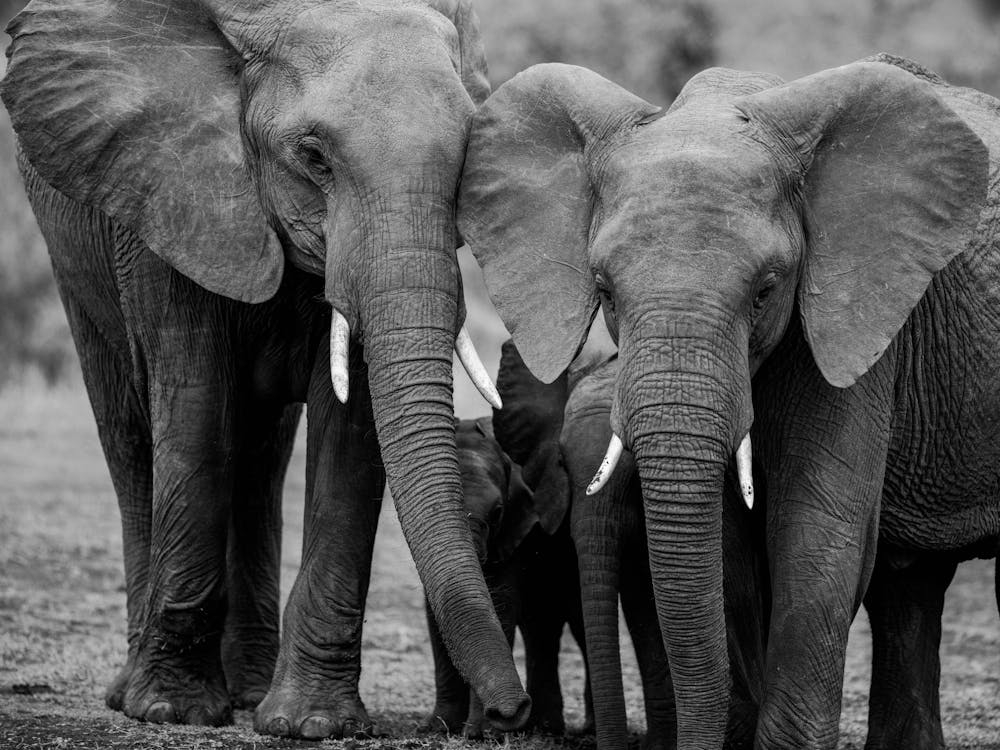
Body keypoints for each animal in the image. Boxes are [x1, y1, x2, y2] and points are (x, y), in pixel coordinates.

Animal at [0, 0, 531, 738]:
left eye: (464, 165)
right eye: (313, 158)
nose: (513, 712)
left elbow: (349, 433)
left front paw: (314, 724)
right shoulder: (168, 196)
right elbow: (193, 409)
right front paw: (175, 711)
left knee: (259, 455)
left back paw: (250, 691)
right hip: (74, 257)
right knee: (131, 435)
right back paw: (133, 693)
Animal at [420, 415, 590, 738]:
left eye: (498, 511)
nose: (503, 713)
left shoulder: (517, 529)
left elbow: (500, 606)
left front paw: (481, 733)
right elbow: (437, 614)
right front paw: (439, 728)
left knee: (576, 621)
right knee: (541, 625)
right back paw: (544, 727)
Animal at [457, 52, 996, 749]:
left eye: (766, 290)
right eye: (604, 289)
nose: (509, 714)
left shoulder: (862, 320)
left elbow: (817, 528)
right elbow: (729, 550)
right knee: (912, 584)